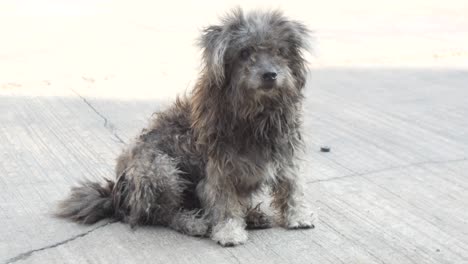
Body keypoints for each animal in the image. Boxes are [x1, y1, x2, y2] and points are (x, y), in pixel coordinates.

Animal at [56, 8, 316, 248]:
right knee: (162, 214)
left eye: (279, 51)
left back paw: (252, 216)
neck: (255, 114)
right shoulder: (218, 171)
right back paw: (193, 222)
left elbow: (292, 186)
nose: (270, 75)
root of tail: (118, 196)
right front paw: (229, 231)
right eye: (245, 53)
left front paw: (298, 215)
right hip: (160, 169)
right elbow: (224, 204)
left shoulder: (285, 152)